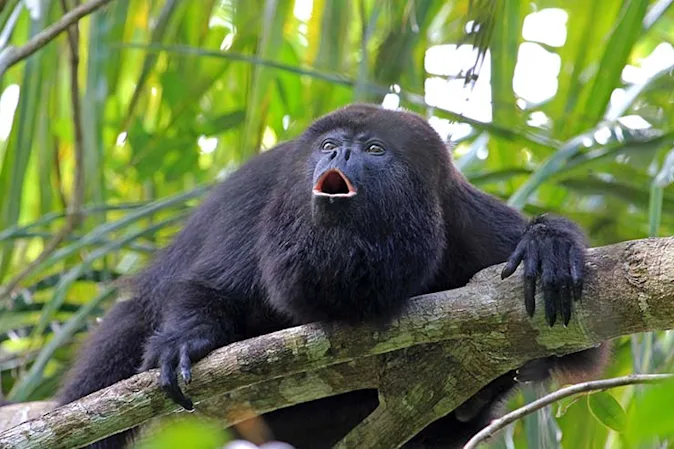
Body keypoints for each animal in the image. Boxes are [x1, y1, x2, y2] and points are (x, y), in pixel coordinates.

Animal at [58, 104, 608, 449]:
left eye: (375, 149)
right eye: (328, 144)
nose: (339, 153)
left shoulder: (465, 219)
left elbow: (578, 347)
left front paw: (548, 244)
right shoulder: (264, 194)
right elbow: (211, 288)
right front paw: (184, 341)